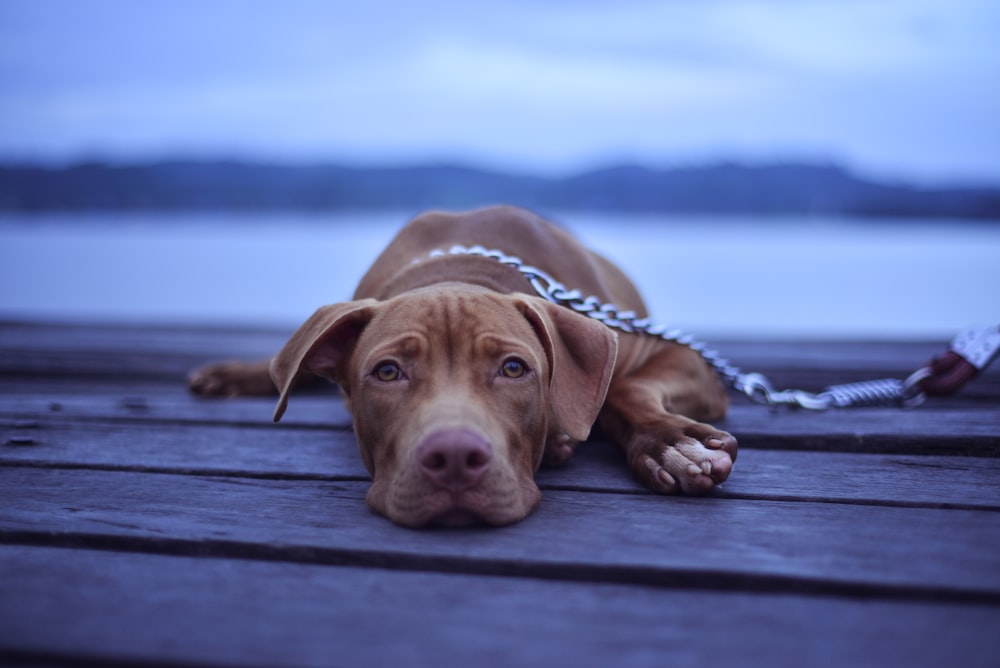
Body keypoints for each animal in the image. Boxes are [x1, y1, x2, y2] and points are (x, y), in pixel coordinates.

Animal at [189, 206, 736, 528]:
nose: (453, 457)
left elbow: (622, 392)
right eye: (387, 372)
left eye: (514, 369)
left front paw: (671, 445)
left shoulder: (675, 356)